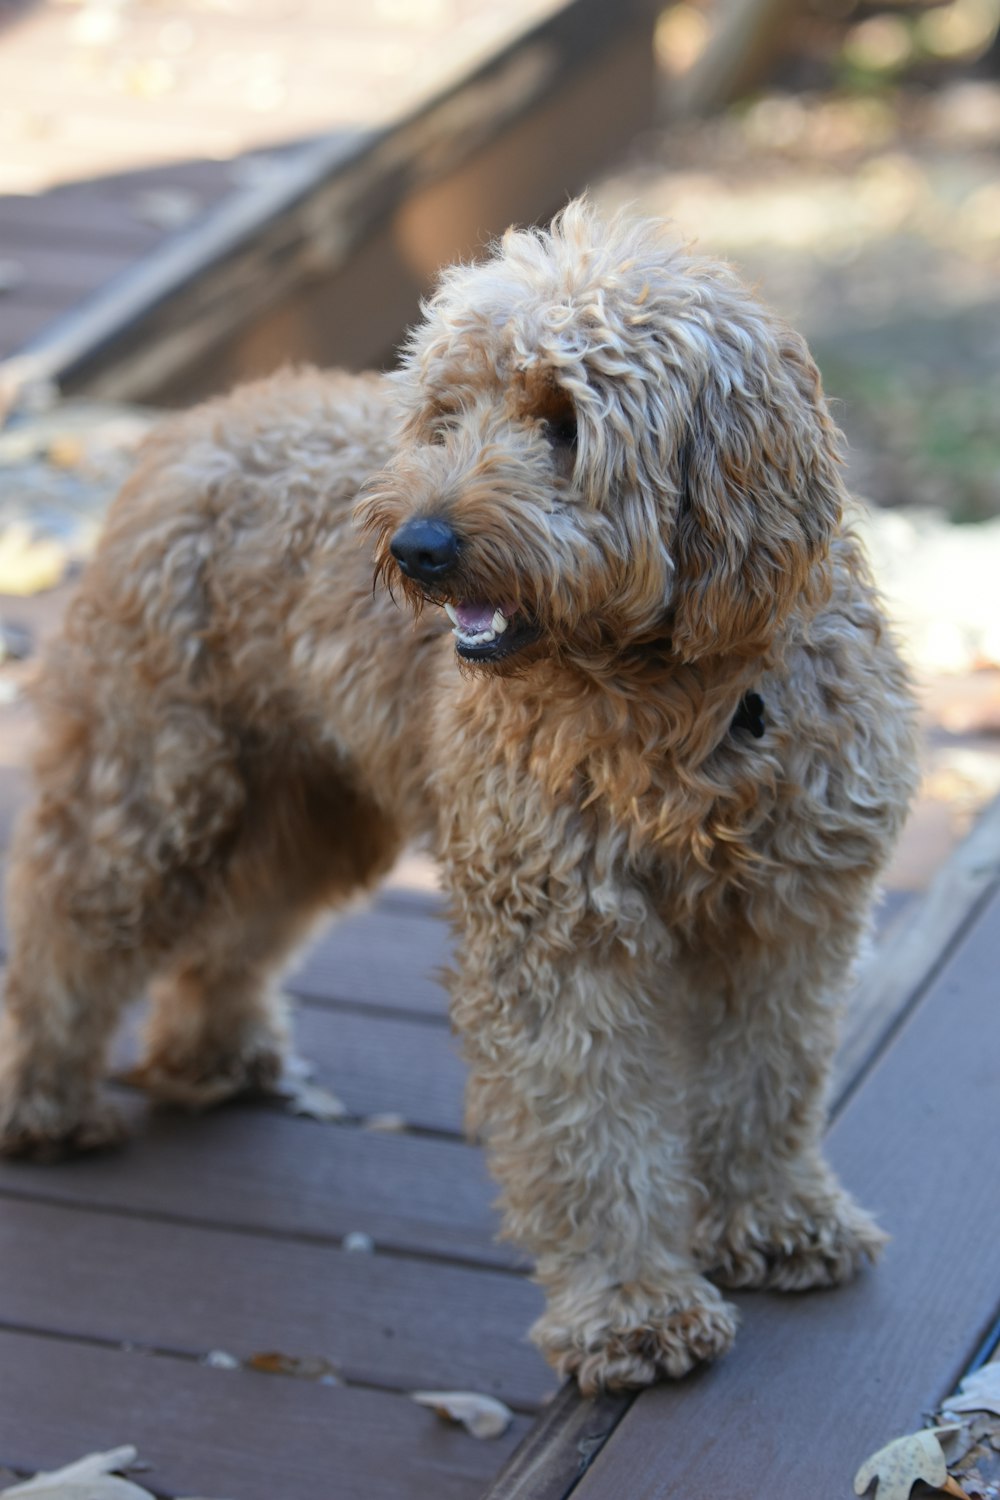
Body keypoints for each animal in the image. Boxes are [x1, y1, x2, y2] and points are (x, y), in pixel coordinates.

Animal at [0, 202, 917, 1392]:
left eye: (563, 421)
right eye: (445, 417)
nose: (418, 546)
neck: (683, 704)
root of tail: (199, 421)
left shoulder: (789, 919)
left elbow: (768, 1083)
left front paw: (774, 1221)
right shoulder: (561, 934)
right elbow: (589, 1132)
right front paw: (631, 1309)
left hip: (309, 808)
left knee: (240, 923)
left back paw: (211, 1052)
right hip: (152, 787)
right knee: (66, 928)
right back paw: (44, 1100)